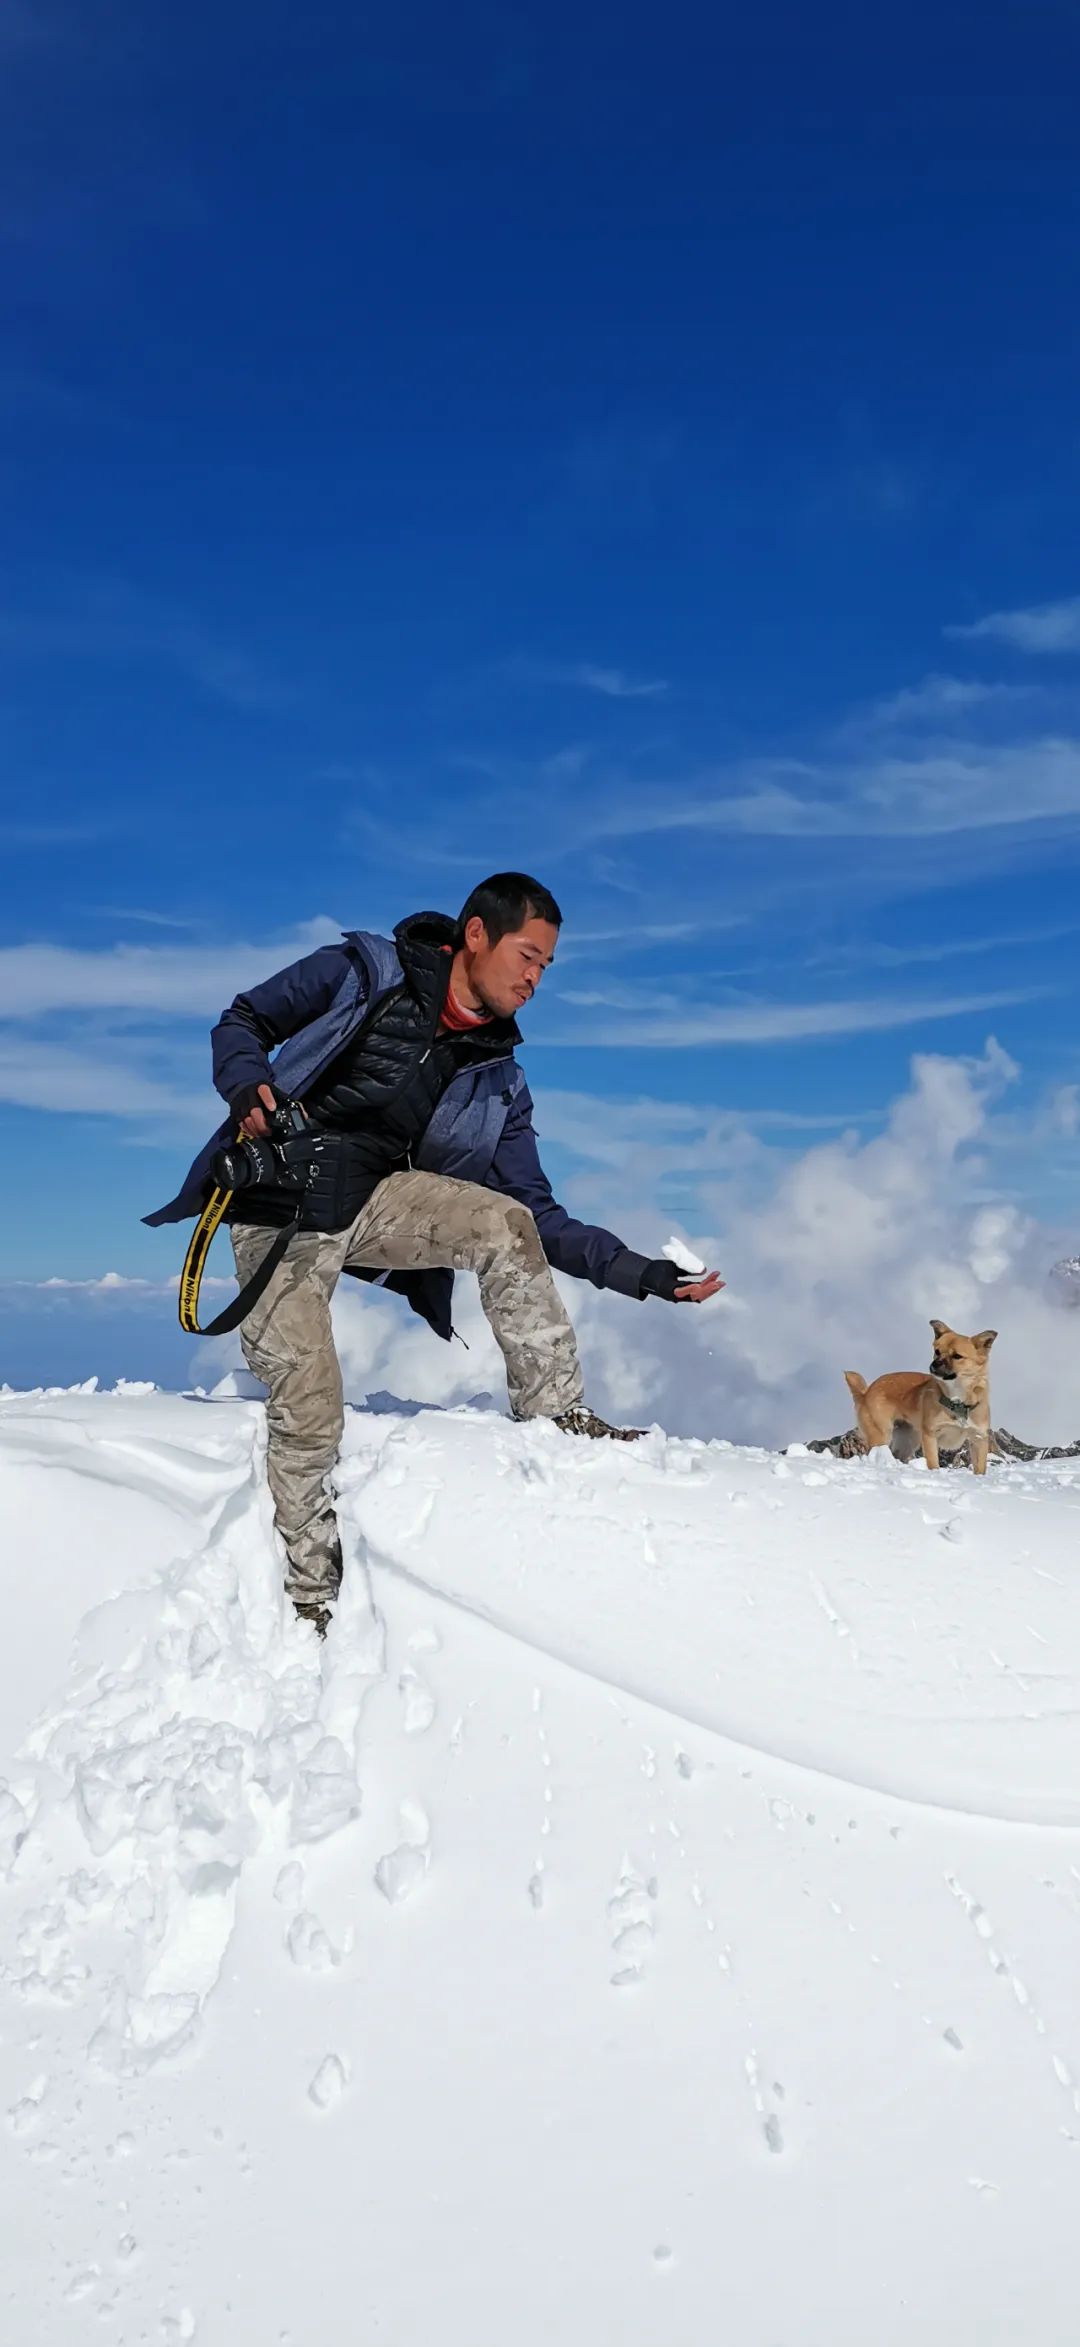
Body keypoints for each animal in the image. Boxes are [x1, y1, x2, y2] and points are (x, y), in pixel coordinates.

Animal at [845, 1323, 995, 1464]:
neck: (957, 1400)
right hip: (881, 1435)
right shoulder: (930, 1435)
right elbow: (933, 1464)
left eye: (957, 1356)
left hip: (908, 1440)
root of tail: (866, 1392)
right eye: (937, 1351)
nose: (935, 1364)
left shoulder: (979, 1439)